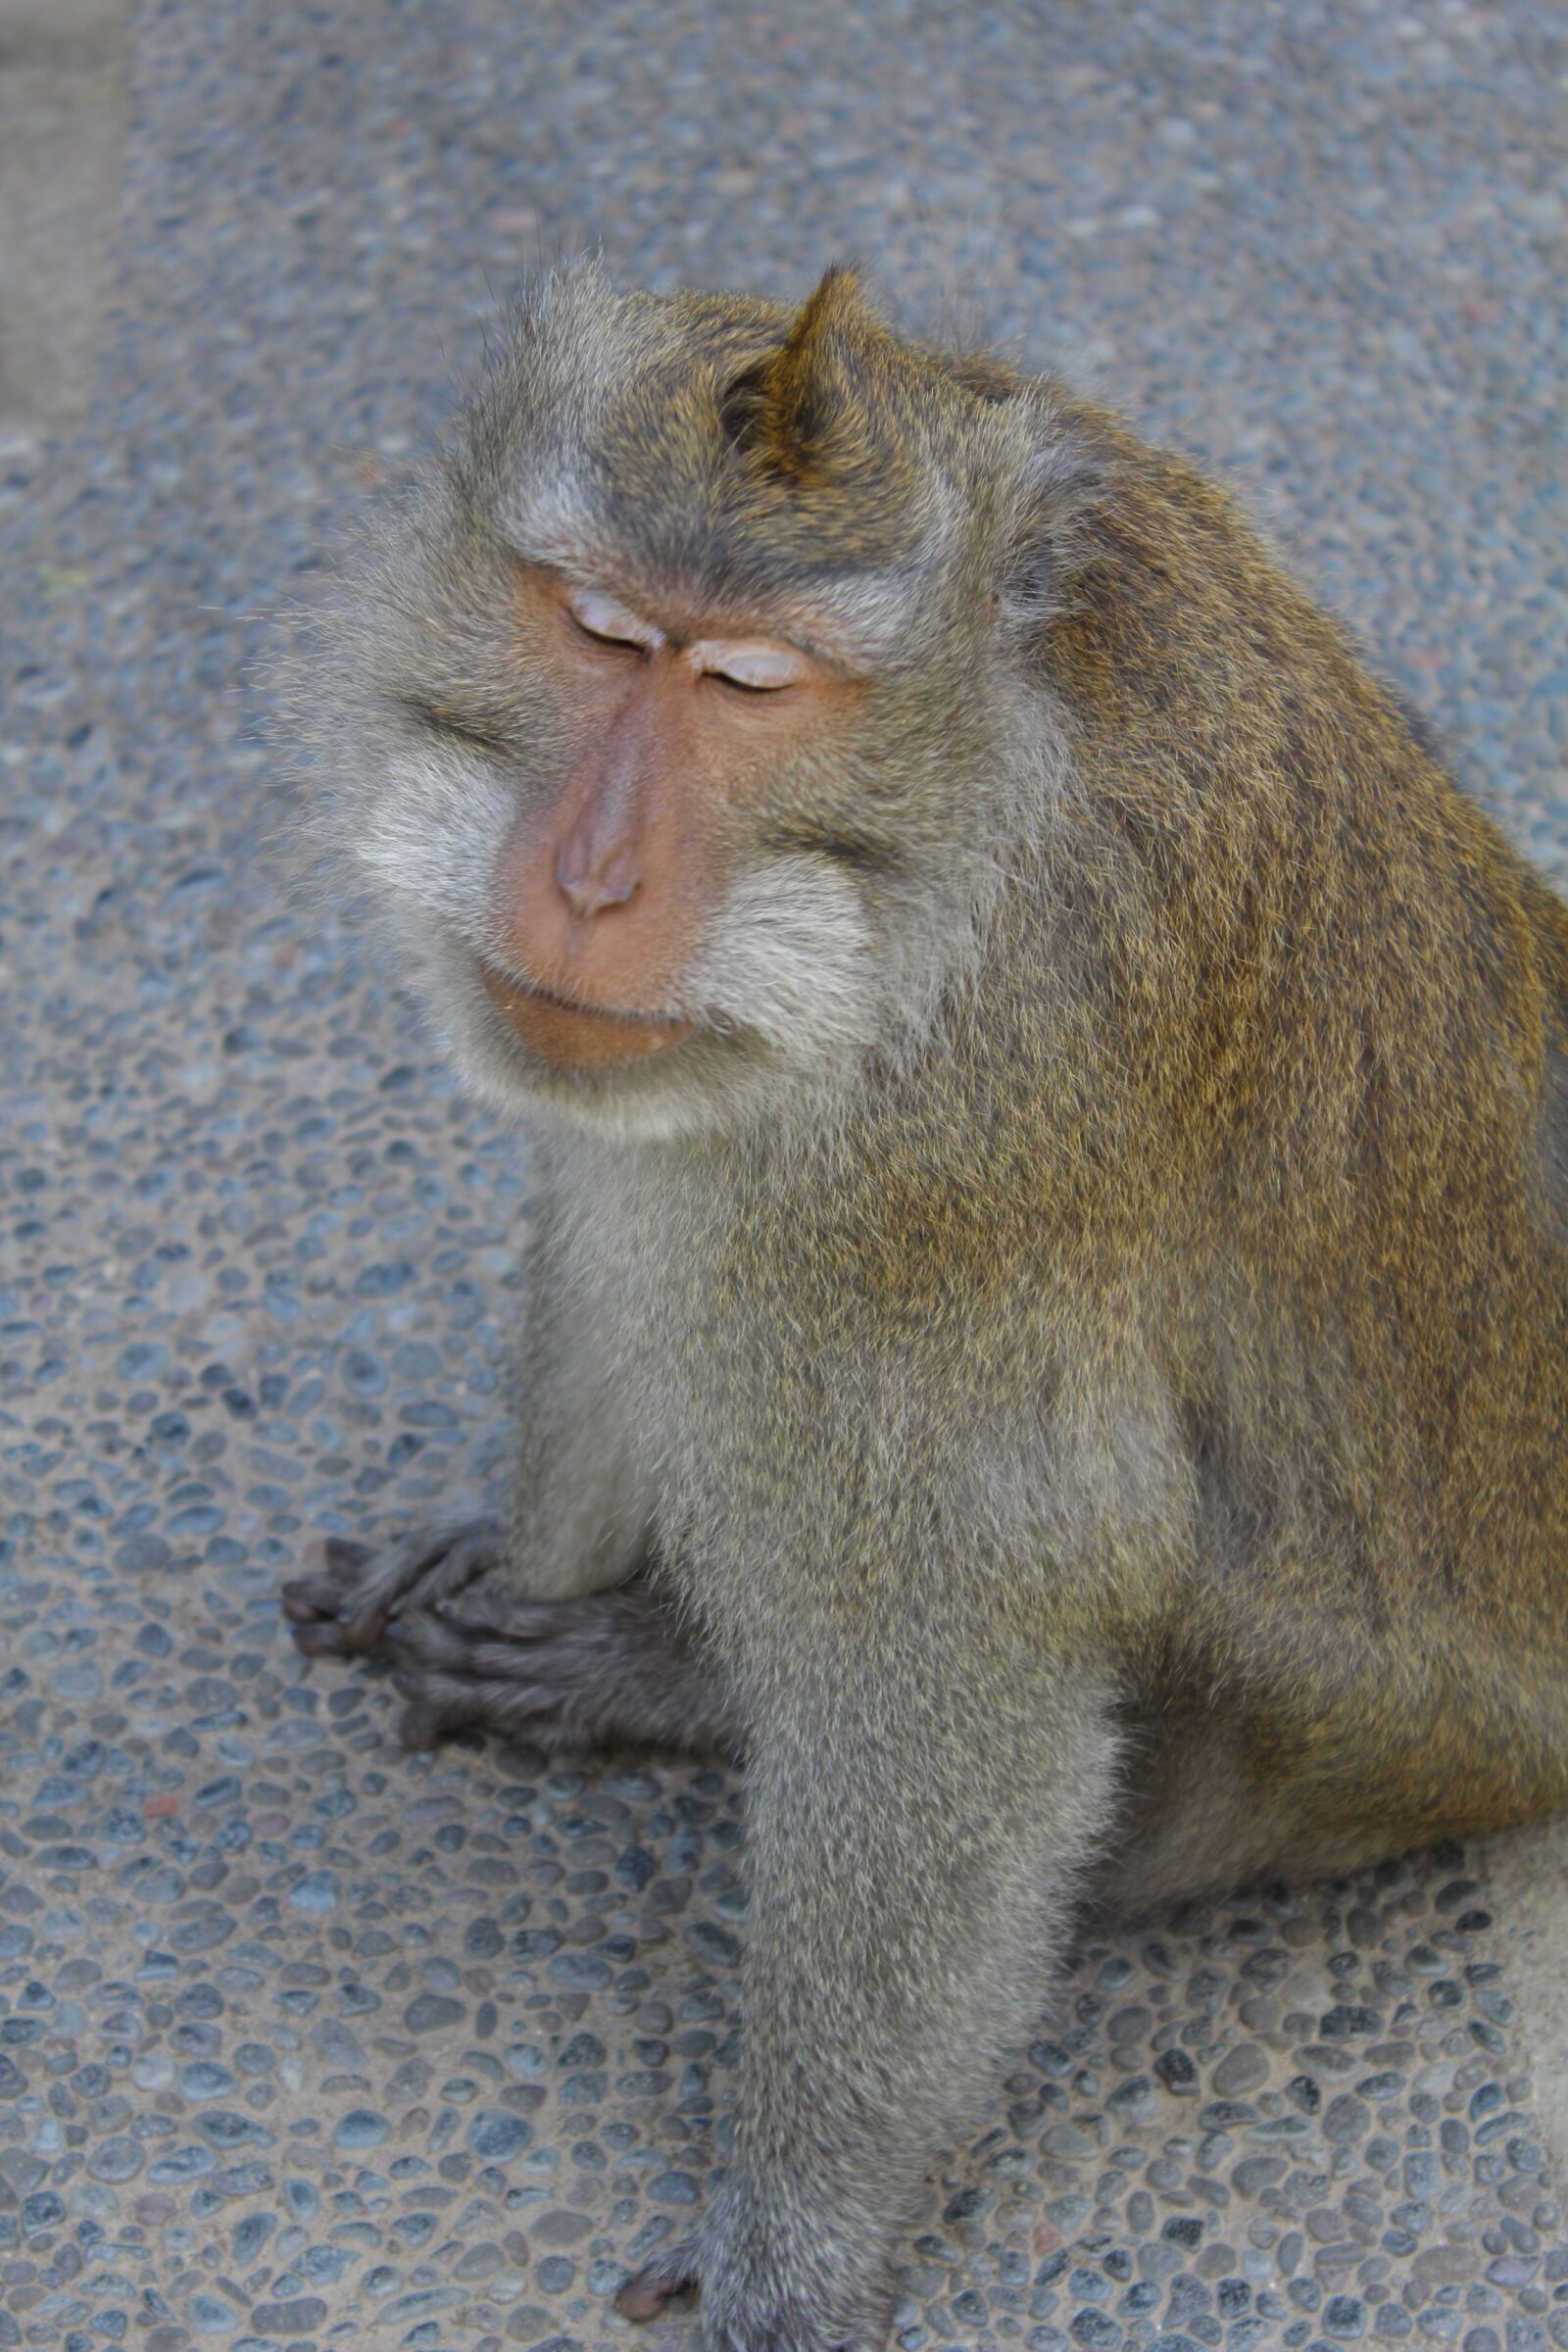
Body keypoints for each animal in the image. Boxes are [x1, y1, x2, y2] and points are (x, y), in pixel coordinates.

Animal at [280, 260, 1568, 2352]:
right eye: (602, 631)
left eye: (747, 686)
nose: (587, 877)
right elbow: (634, 1179)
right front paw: (532, 1555)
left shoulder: (981, 1101)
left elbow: (974, 1653)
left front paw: (793, 2248)